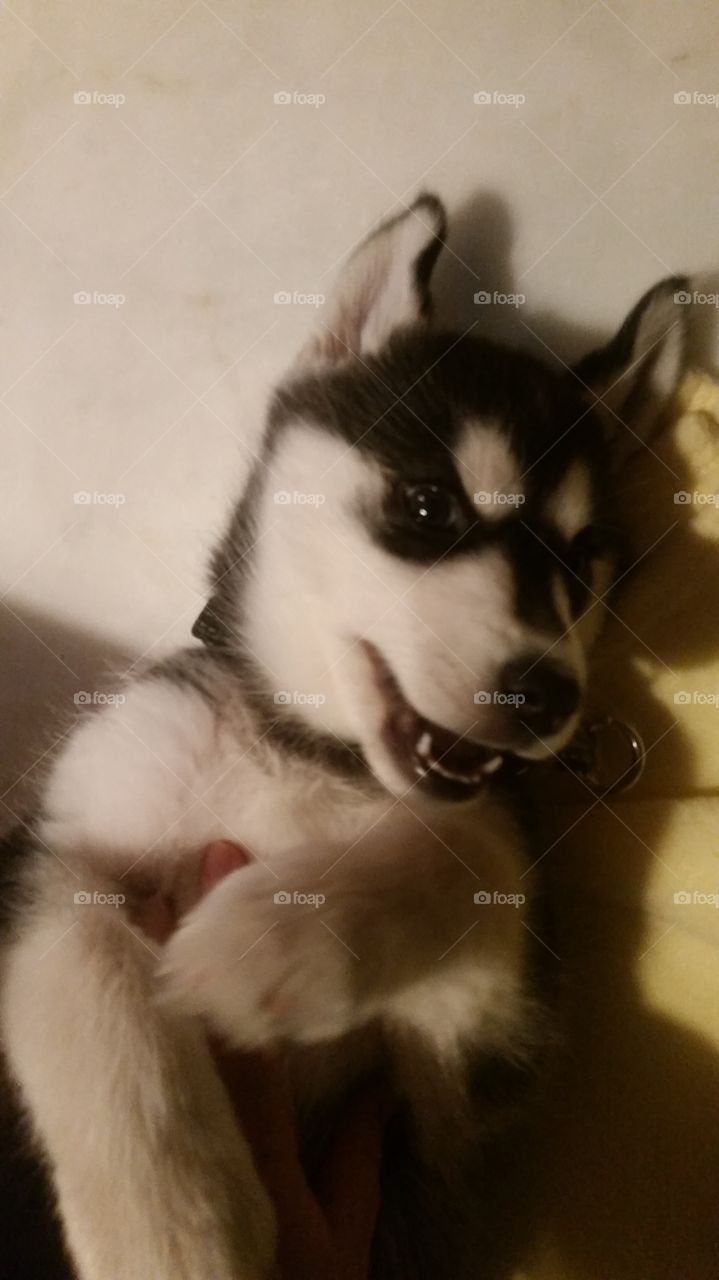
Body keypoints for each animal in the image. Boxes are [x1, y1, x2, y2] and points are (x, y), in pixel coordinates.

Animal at [0, 192, 680, 1280]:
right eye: (426, 505)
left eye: (583, 563)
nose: (547, 693)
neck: (303, 758)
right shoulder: (55, 851)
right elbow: (88, 957)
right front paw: (175, 1223)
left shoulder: (471, 1050)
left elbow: (461, 852)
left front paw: (263, 941)